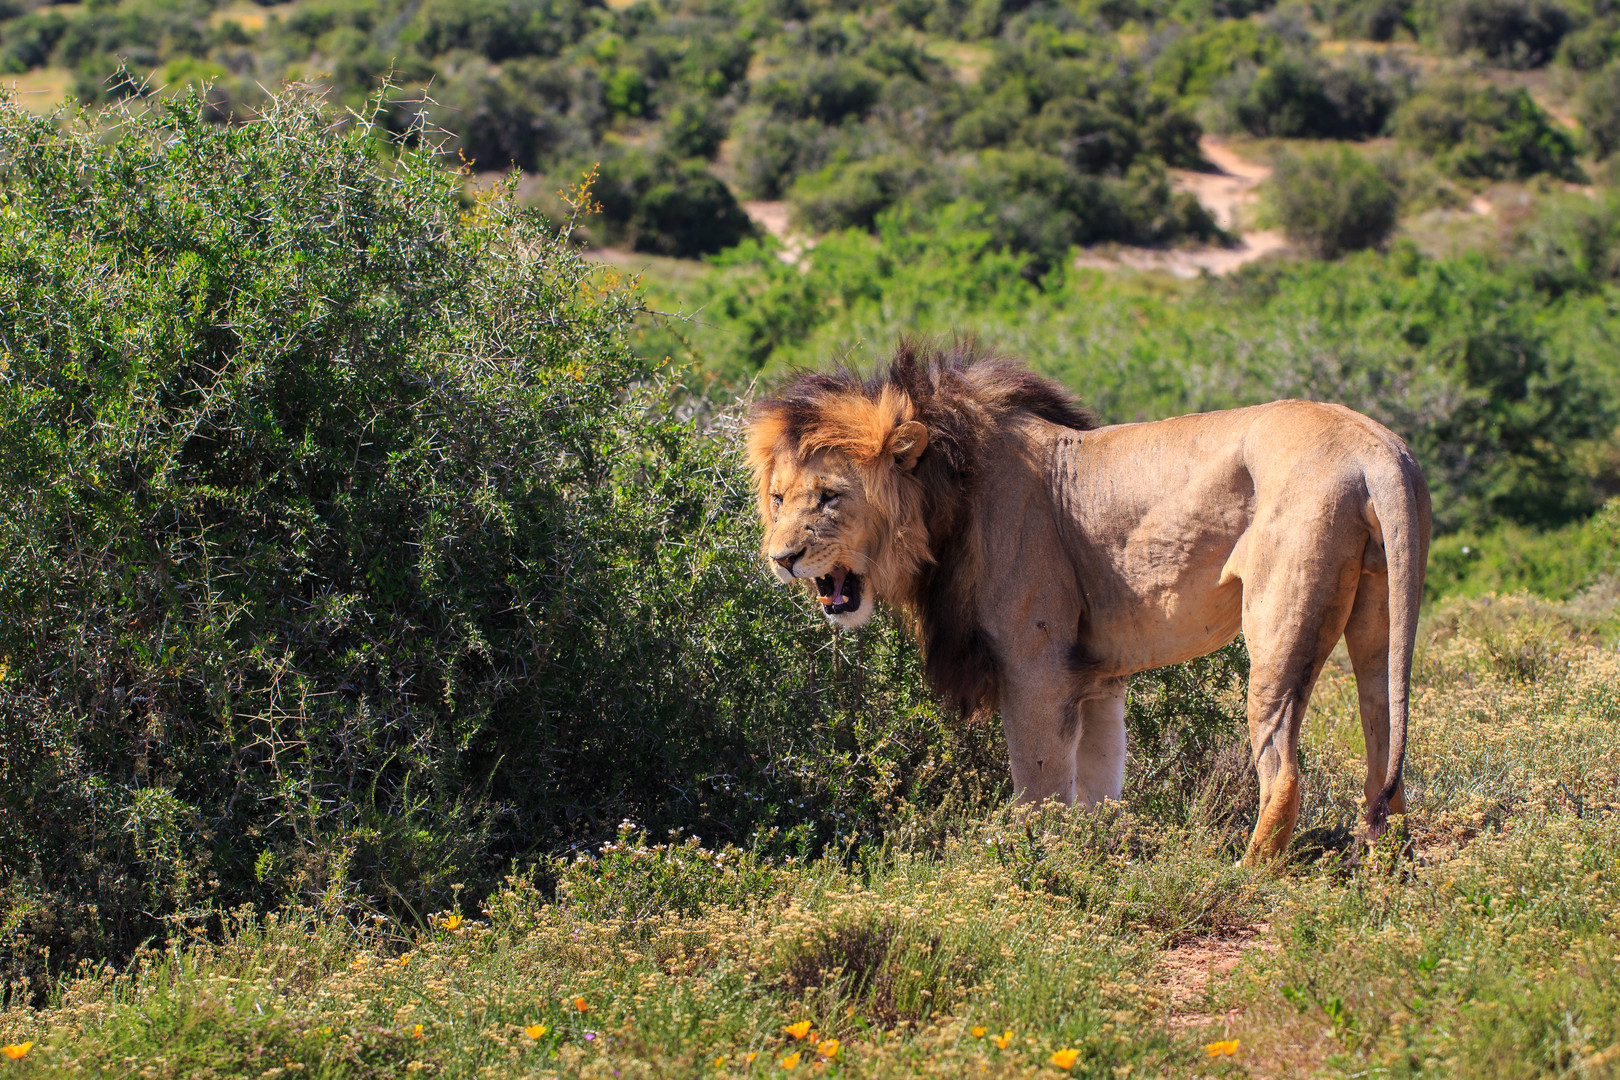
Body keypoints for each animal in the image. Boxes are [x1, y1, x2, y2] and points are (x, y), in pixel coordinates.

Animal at [745, 341, 1432, 867]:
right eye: (779, 498)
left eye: (830, 497)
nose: (780, 558)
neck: (948, 494)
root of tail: (1375, 446)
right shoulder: (1098, 674)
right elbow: (1101, 778)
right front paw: (1098, 852)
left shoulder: (1037, 666)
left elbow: (1040, 779)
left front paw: (1025, 859)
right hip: (1381, 615)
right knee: (1384, 740)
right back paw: (1385, 861)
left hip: (1277, 624)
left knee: (1284, 767)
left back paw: (1245, 873)